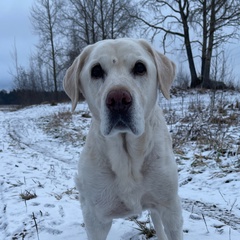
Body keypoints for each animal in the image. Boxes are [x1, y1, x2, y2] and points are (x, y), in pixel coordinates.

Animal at [62, 38, 183, 239]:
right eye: (96, 70)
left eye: (140, 67)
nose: (118, 99)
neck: (127, 156)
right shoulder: (95, 219)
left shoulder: (170, 209)